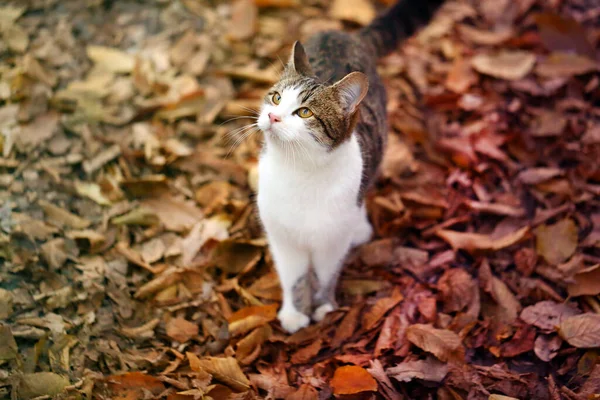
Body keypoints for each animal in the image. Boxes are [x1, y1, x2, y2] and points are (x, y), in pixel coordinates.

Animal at [255, 0, 442, 332]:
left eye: (304, 112)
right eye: (275, 98)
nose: (272, 117)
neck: (299, 171)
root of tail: (347, 35)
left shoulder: (332, 238)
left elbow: (326, 273)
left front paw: (323, 306)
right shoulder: (282, 236)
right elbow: (294, 276)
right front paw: (295, 312)